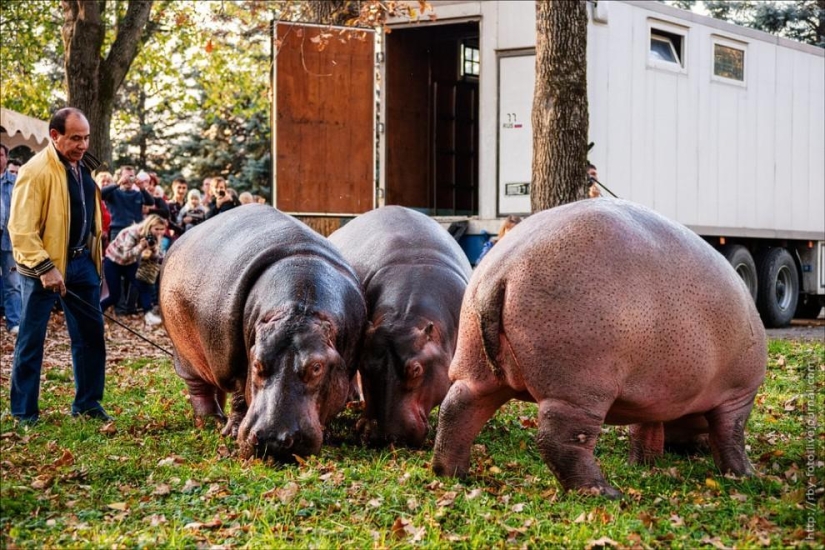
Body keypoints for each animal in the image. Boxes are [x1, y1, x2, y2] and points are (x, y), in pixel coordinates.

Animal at [159, 205, 367, 460]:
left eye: (317, 367)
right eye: (256, 363)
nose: (273, 440)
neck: (299, 307)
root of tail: (181, 240)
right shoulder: (235, 362)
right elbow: (240, 395)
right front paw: (231, 432)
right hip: (186, 354)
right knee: (199, 388)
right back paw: (211, 421)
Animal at [431, 198, 767, 497]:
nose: (692, 450)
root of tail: (501, 272)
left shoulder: (653, 394)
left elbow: (644, 430)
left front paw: (644, 465)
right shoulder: (738, 394)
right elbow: (730, 434)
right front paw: (745, 475)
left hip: (476, 367)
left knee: (456, 411)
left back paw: (451, 474)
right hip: (577, 390)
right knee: (558, 440)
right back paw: (604, 493)